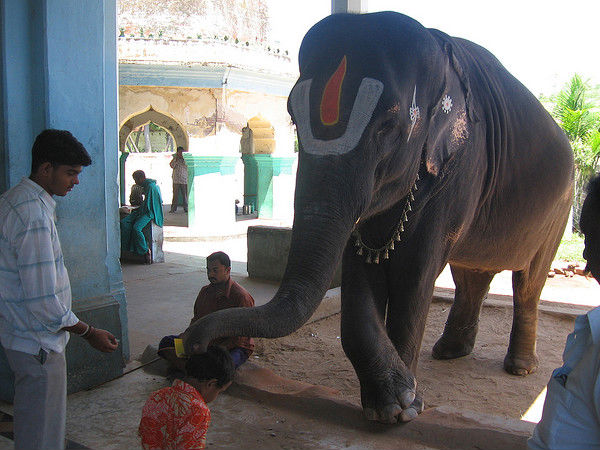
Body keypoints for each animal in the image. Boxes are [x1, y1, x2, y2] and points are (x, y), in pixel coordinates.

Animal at [185, 11, 576, 426]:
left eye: (387, 128)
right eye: (292, 119)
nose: (194, 343)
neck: (440, 53)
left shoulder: (461, 169)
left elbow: (415, 272)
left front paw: (406, 407)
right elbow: (360, 268)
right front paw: (388, 403)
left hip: (560, 206)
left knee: (529, 281)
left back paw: (519, 366)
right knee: (472, 275)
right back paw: (449, 352)